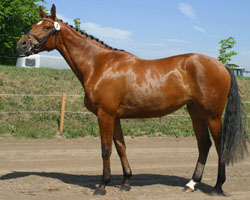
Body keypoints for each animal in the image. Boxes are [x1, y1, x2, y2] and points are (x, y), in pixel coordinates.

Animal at [17, 4, 248, 195]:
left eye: (47, 27)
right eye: (34, 24)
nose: (22, 44)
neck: (99, 64)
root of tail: (221, 65)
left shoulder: (105, 115)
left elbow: (106, 149)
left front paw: (102, 186)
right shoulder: (115, 117)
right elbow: (121, 147)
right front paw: (126, 182)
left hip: (212, 114)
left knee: (219, 145)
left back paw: (217, 187)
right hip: (195, 112)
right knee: (204, 144)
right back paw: (191, 184)